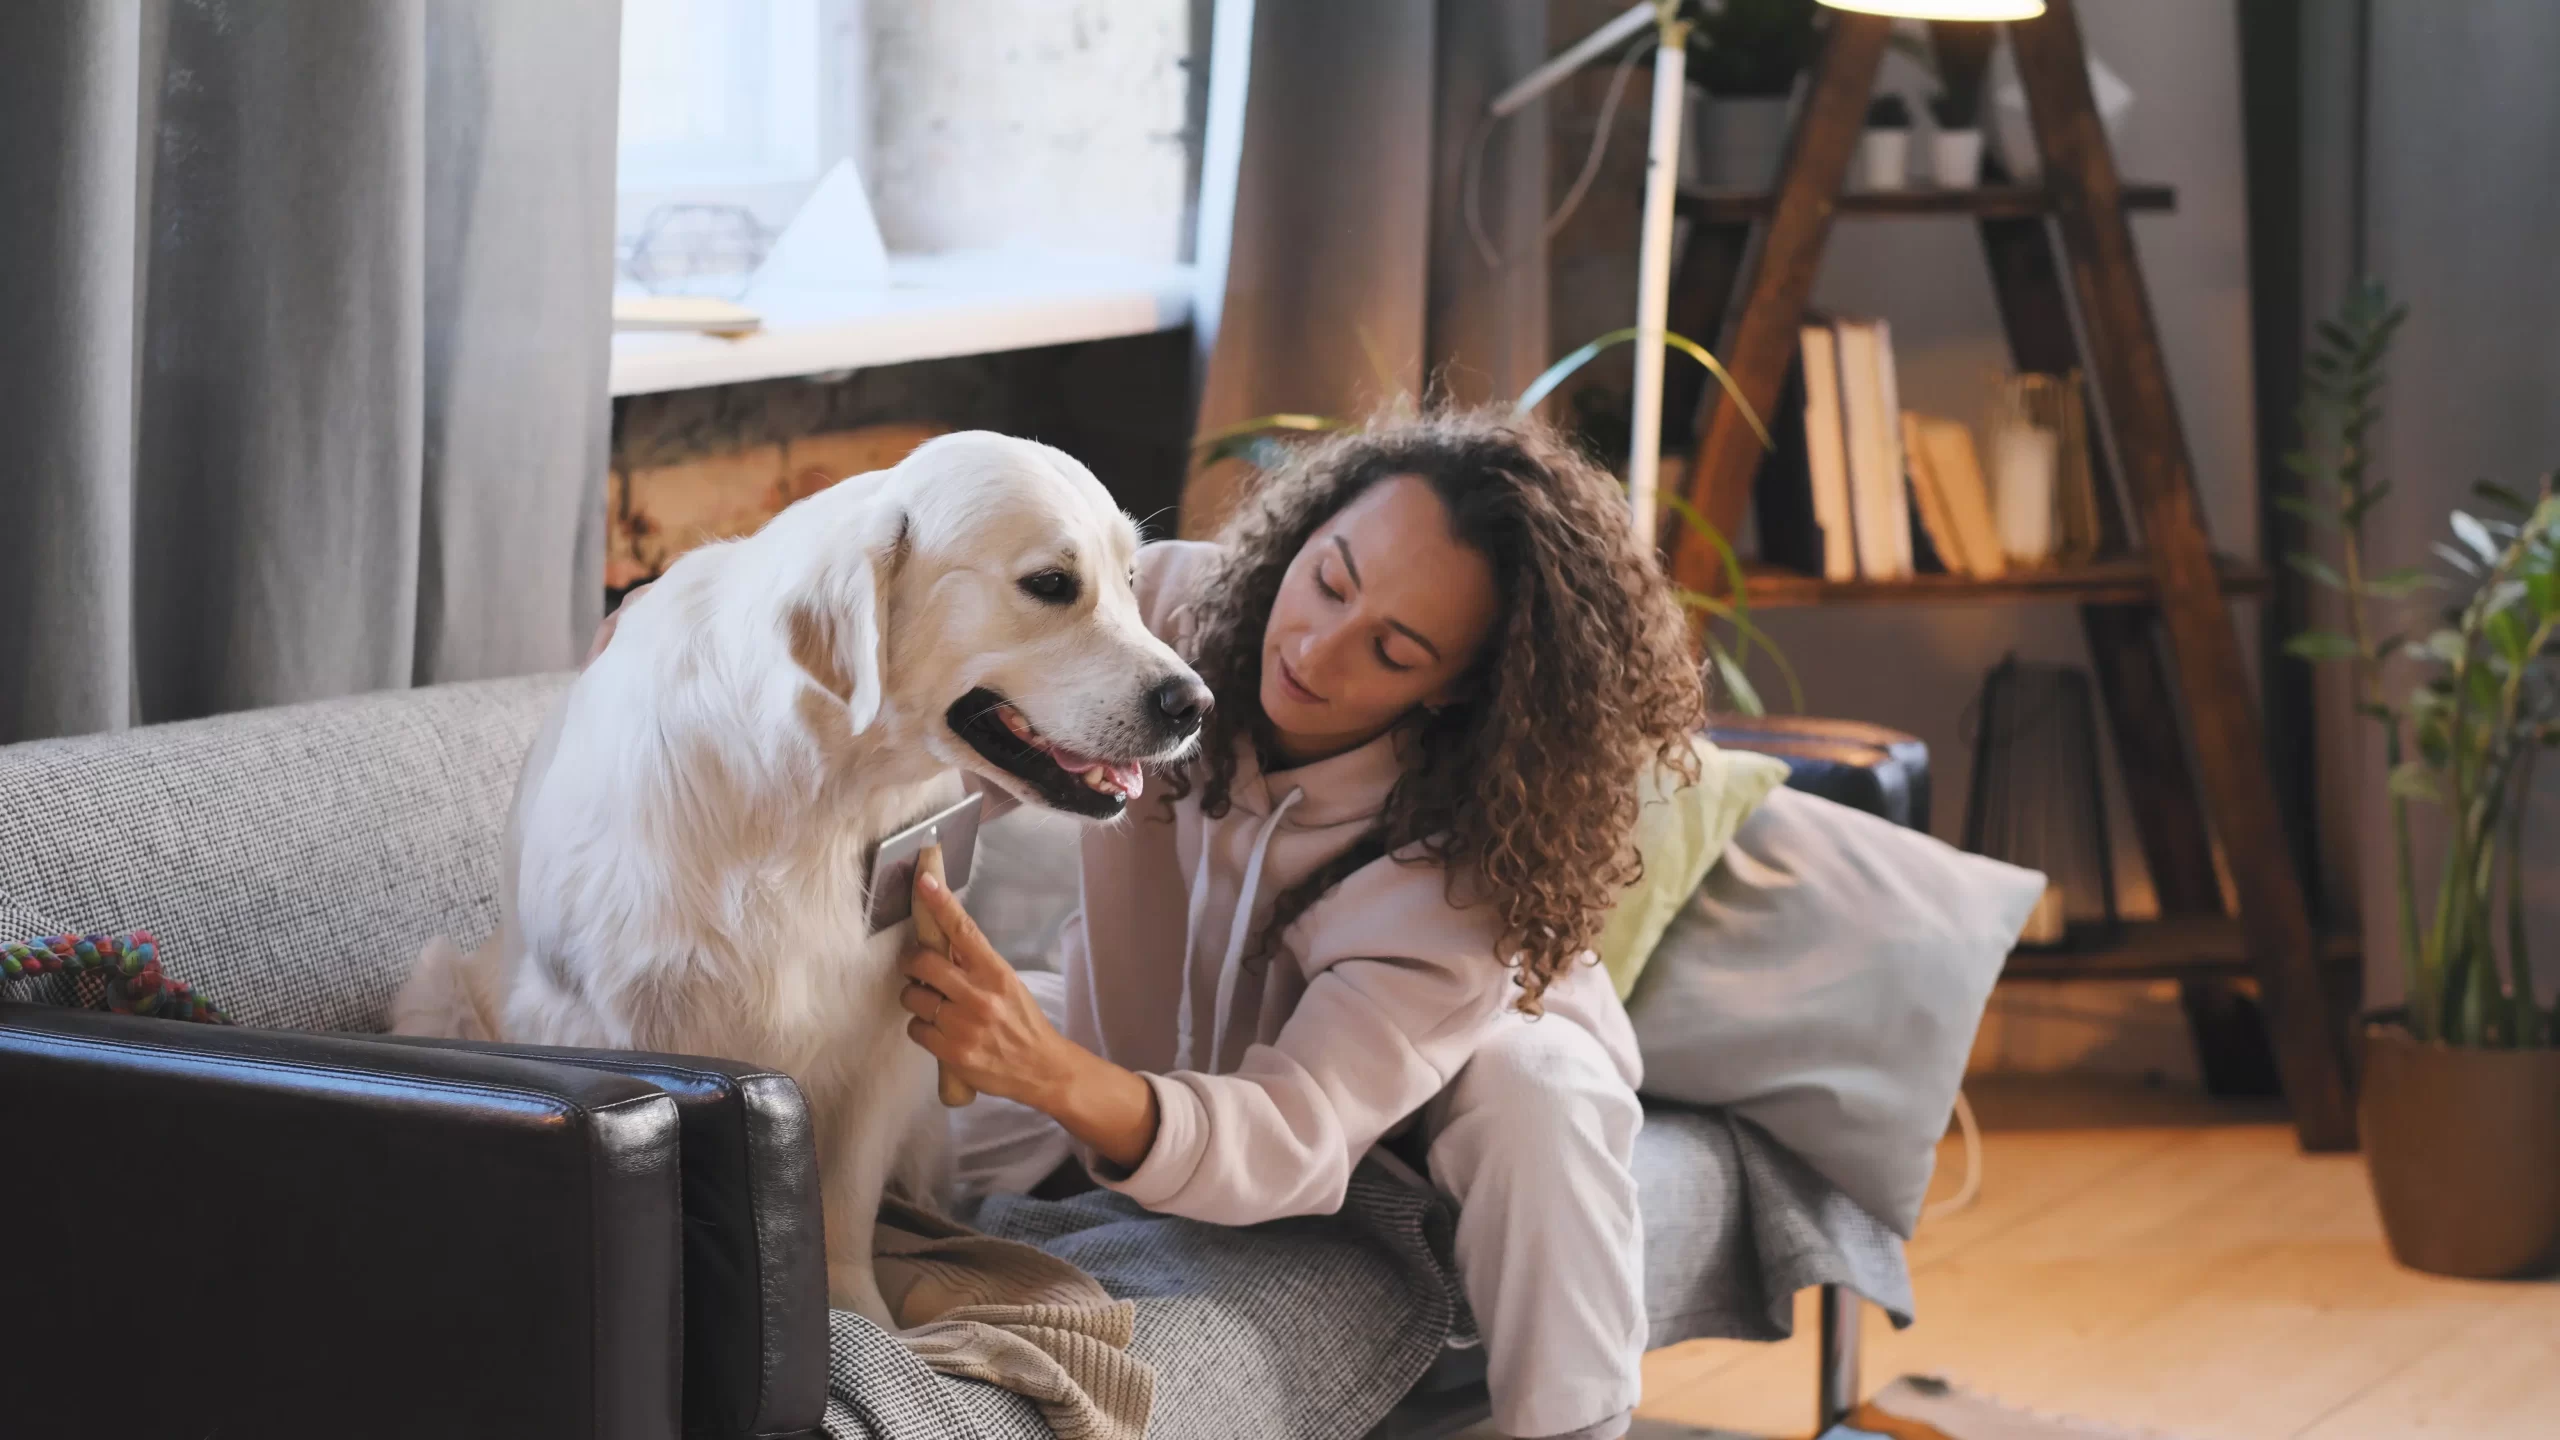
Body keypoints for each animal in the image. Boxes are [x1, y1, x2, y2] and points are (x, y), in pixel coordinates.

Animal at [389, 427, 1208, 1322]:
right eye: (1052, 584)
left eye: (1131, 579)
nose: (1194, 703)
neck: (815, 793)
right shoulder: (603, 1021)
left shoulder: (891, 1032)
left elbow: (842, 1207)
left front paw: (862, 1319)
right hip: (433, 987)